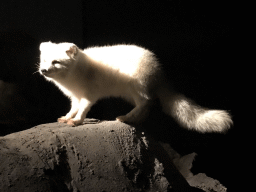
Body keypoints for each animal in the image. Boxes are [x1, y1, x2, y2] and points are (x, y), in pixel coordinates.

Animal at [38, 41, 232, 132]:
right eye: (43, 60)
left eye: (56, 62)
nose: (43, 70)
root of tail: (159, 70)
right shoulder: (75, 97)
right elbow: (73, 109)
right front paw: (66, 117)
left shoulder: (89, 95)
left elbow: (83, 110)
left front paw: (77, 121)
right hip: (131, 94)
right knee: (148, 106)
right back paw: (134, 120)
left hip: (136, 87)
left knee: (146, 102)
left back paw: (126, 117)